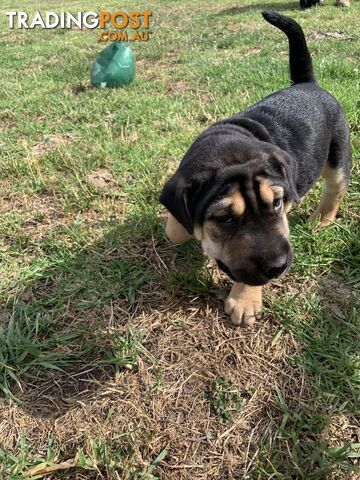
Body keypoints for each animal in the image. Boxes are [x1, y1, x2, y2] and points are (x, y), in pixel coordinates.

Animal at [160, 12, 352, 326]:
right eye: (224, 218)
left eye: (276, 203)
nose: (279, 266)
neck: (230, 154)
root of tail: (308, 84)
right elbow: (176, 226)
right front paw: (181, 228)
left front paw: (244, 299)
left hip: (338, 152)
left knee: (336, 187)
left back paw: (321, 220)